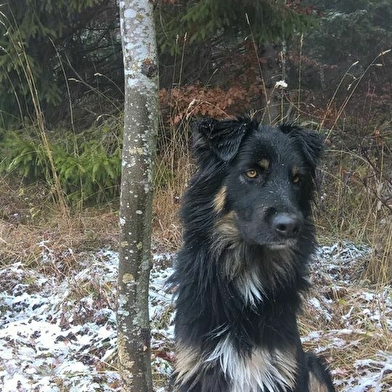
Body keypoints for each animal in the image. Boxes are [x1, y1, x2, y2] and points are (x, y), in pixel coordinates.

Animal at [170, 117, 336, 392]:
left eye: (297, 179)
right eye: (252, 173)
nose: (291, 226)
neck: (249, 268)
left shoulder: (284, 369)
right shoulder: (195, 368)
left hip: (313, 367)